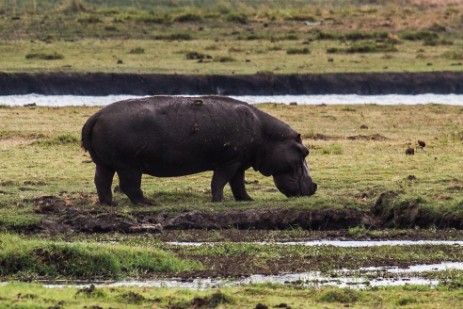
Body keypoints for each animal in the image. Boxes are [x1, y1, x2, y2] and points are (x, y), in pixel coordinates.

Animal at [81, 94, 318, 205]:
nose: (314, 186)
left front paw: (247, 200)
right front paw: (219, 201)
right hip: (129, 165)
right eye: (304, 152)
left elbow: (238, 184)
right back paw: (147, 203)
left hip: (105, 164)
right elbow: (220, 182)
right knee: (130, 186)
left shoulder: (240, 163)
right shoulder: (229, 161)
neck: (268, 137)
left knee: (102, 182)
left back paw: (110, 204)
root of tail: (96, 116)